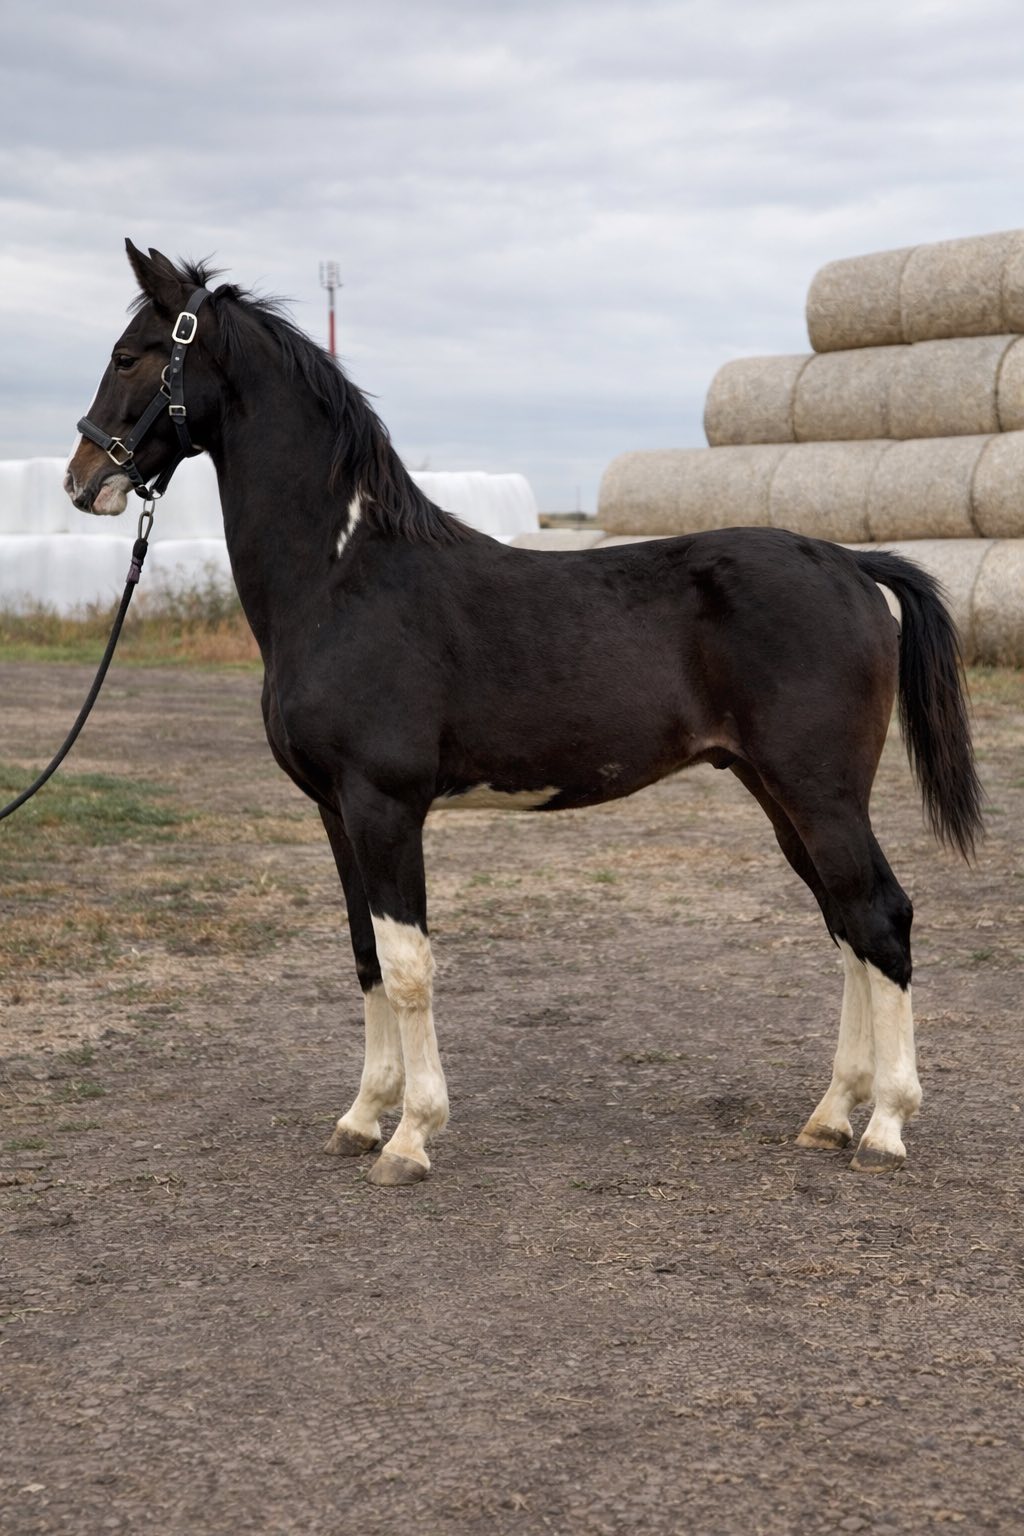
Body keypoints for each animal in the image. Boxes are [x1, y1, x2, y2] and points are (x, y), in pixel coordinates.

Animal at [64, 241, 982, 1185]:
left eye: (129, 356)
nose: (82, 480)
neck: (344, 578)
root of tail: (851, 563)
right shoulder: (334, 812)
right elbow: (364, 954)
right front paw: (361, 1117)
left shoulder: (384, 806)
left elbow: (407, 965)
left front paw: (411, 1137)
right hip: (778, 795)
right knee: (848, 928)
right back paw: (831, 1115)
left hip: (819, 793)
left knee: (881, 918)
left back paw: (885, 1126)